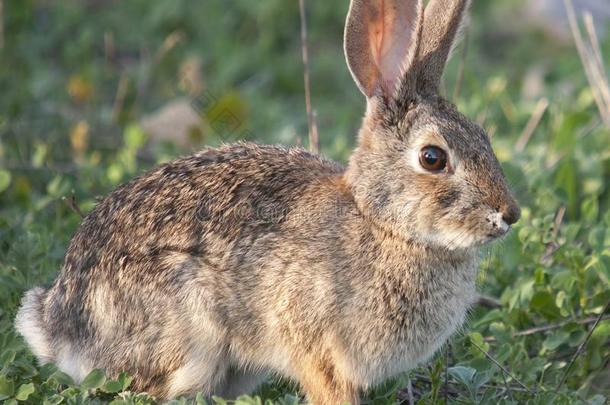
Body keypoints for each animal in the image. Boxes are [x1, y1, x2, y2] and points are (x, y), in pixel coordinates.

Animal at [15, 0, 516, 402]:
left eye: (484, 137)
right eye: (433, 158)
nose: (509, 214)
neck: (383, 224)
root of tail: (58, 325)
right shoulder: (313, 342)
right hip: (190, 331)